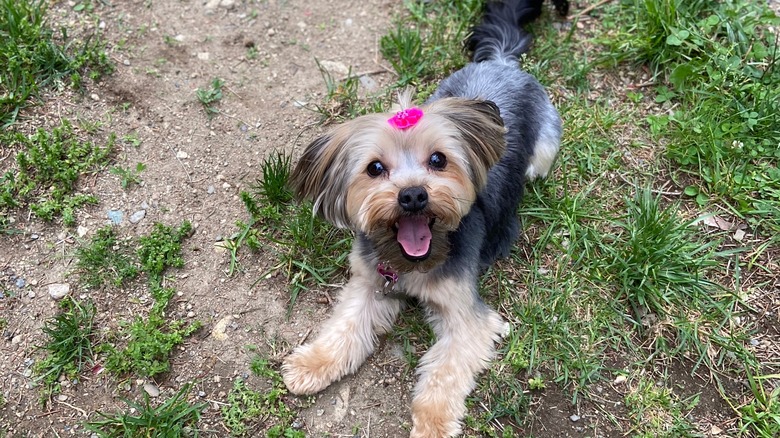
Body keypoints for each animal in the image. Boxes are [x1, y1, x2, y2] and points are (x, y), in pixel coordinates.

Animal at [280, 0, 568, 434]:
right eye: (375, 168)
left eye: (438, 160)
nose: (413, 194)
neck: (413, 262)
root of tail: (500, 61)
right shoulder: (369, 282)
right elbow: (345, 325)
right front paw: (314, 364)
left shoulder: (468, 318)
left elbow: (445, 371)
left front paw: (432, 423)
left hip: (545, 147)